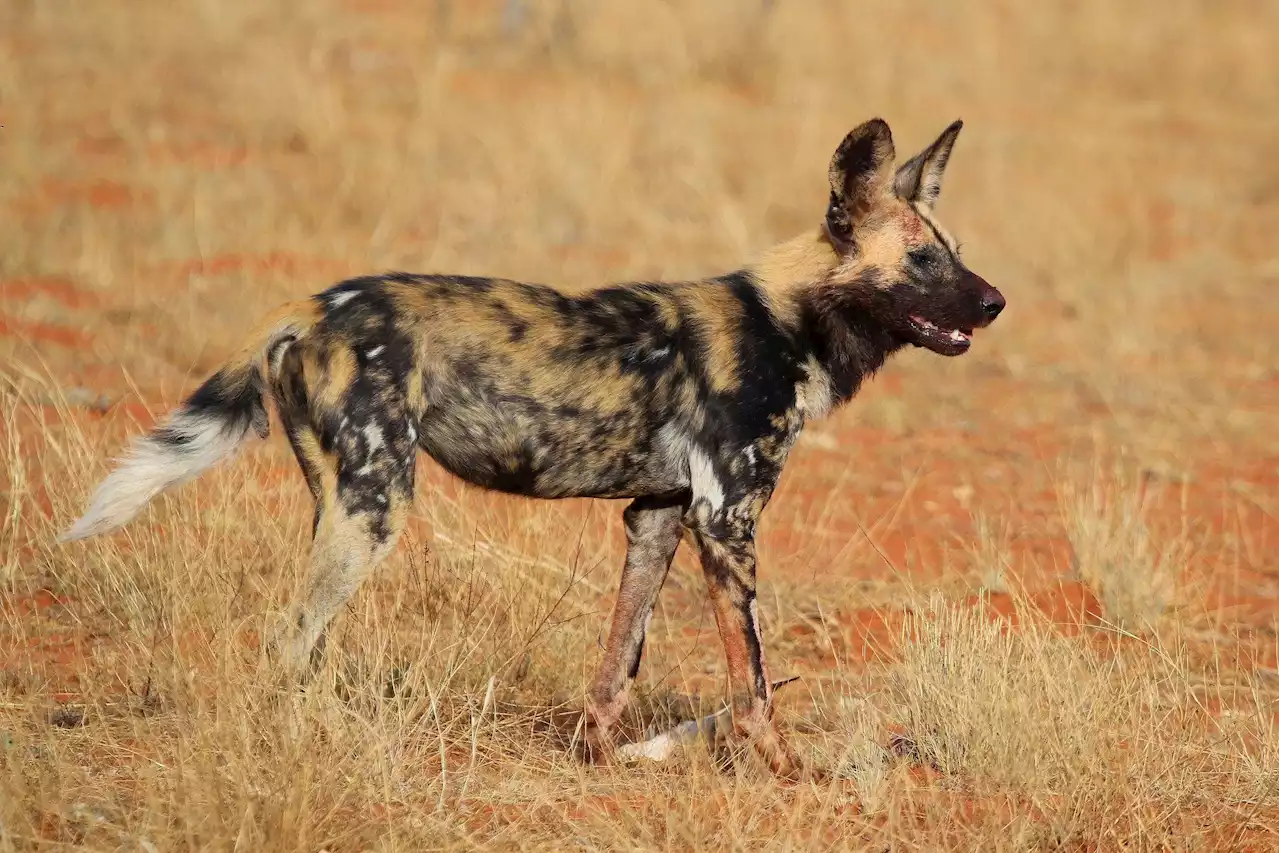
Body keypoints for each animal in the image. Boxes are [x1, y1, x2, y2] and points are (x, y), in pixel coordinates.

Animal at [62, 117, 998, 778]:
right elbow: (755, 683)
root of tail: (313, 303)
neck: (789, 321)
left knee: (303, 640)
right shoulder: (725, 521)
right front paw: (788, 770)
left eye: (956, 252)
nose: (995, 301)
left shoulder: (659, 516)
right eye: (922, 260)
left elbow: (616, 665)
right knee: (287, 638)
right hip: (377, 507)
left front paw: (596, 759)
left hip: (340, 503)